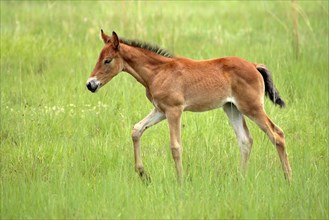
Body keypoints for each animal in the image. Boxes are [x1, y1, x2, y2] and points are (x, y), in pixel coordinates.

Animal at [86, 30, 290, 183]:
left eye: (107, 60)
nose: (90, 84)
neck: (158, 72)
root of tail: (255, 66)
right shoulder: (160, 110)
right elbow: (136, 130)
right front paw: (143, 174)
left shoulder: (174, 110)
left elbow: (175, 146)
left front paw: (180, 181)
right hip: (232, 108)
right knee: (245, 140)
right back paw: (241, 178)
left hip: (252, 107)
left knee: (277, 134)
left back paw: (288, 178)